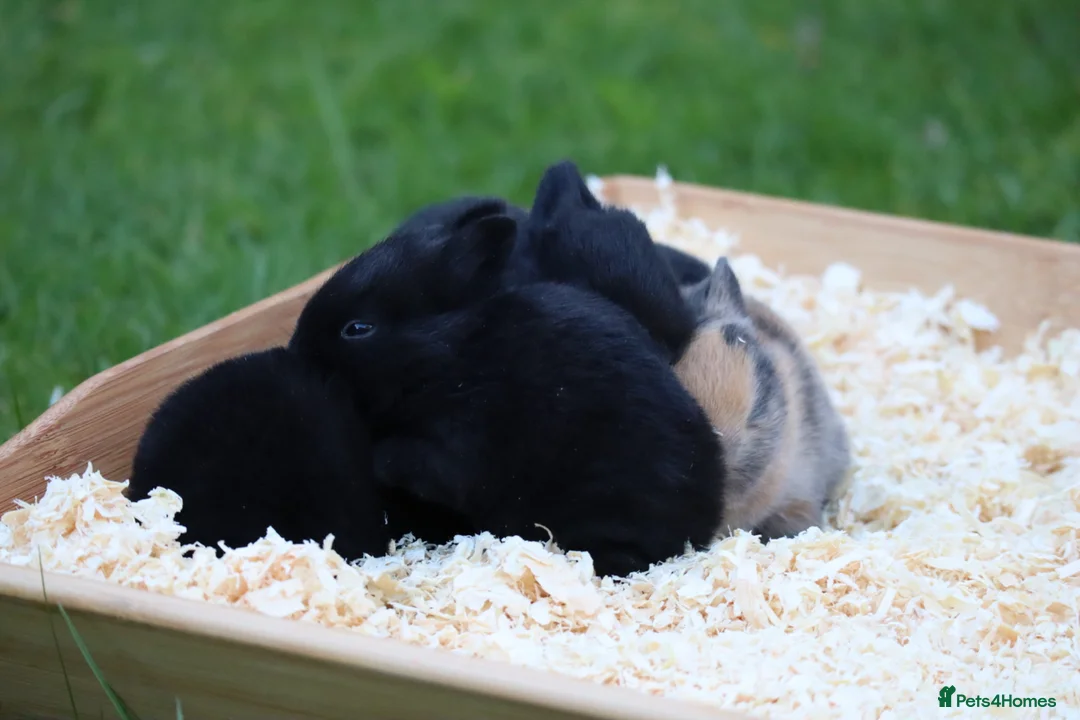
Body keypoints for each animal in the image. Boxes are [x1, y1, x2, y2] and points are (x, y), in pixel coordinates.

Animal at [288, 212, 725, 578]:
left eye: (358, 328)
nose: (295, 351)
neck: (449, 352)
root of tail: (703, 527)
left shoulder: (458, 438)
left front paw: (379, 459)